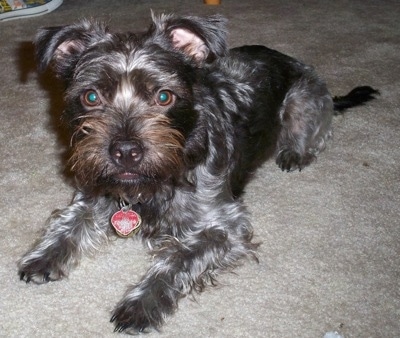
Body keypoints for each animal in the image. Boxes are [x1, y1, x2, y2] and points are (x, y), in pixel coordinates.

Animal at [18, 12, 378, 332]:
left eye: (164, 96)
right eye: (91, 96)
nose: (125, 152)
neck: (152, 185)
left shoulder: (223, 227)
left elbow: (177, 260)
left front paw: (143, 303)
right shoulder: (94, 193)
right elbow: (67, 223)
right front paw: (44, 256)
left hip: (303, 103)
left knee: (315, 132)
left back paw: (295, 152)